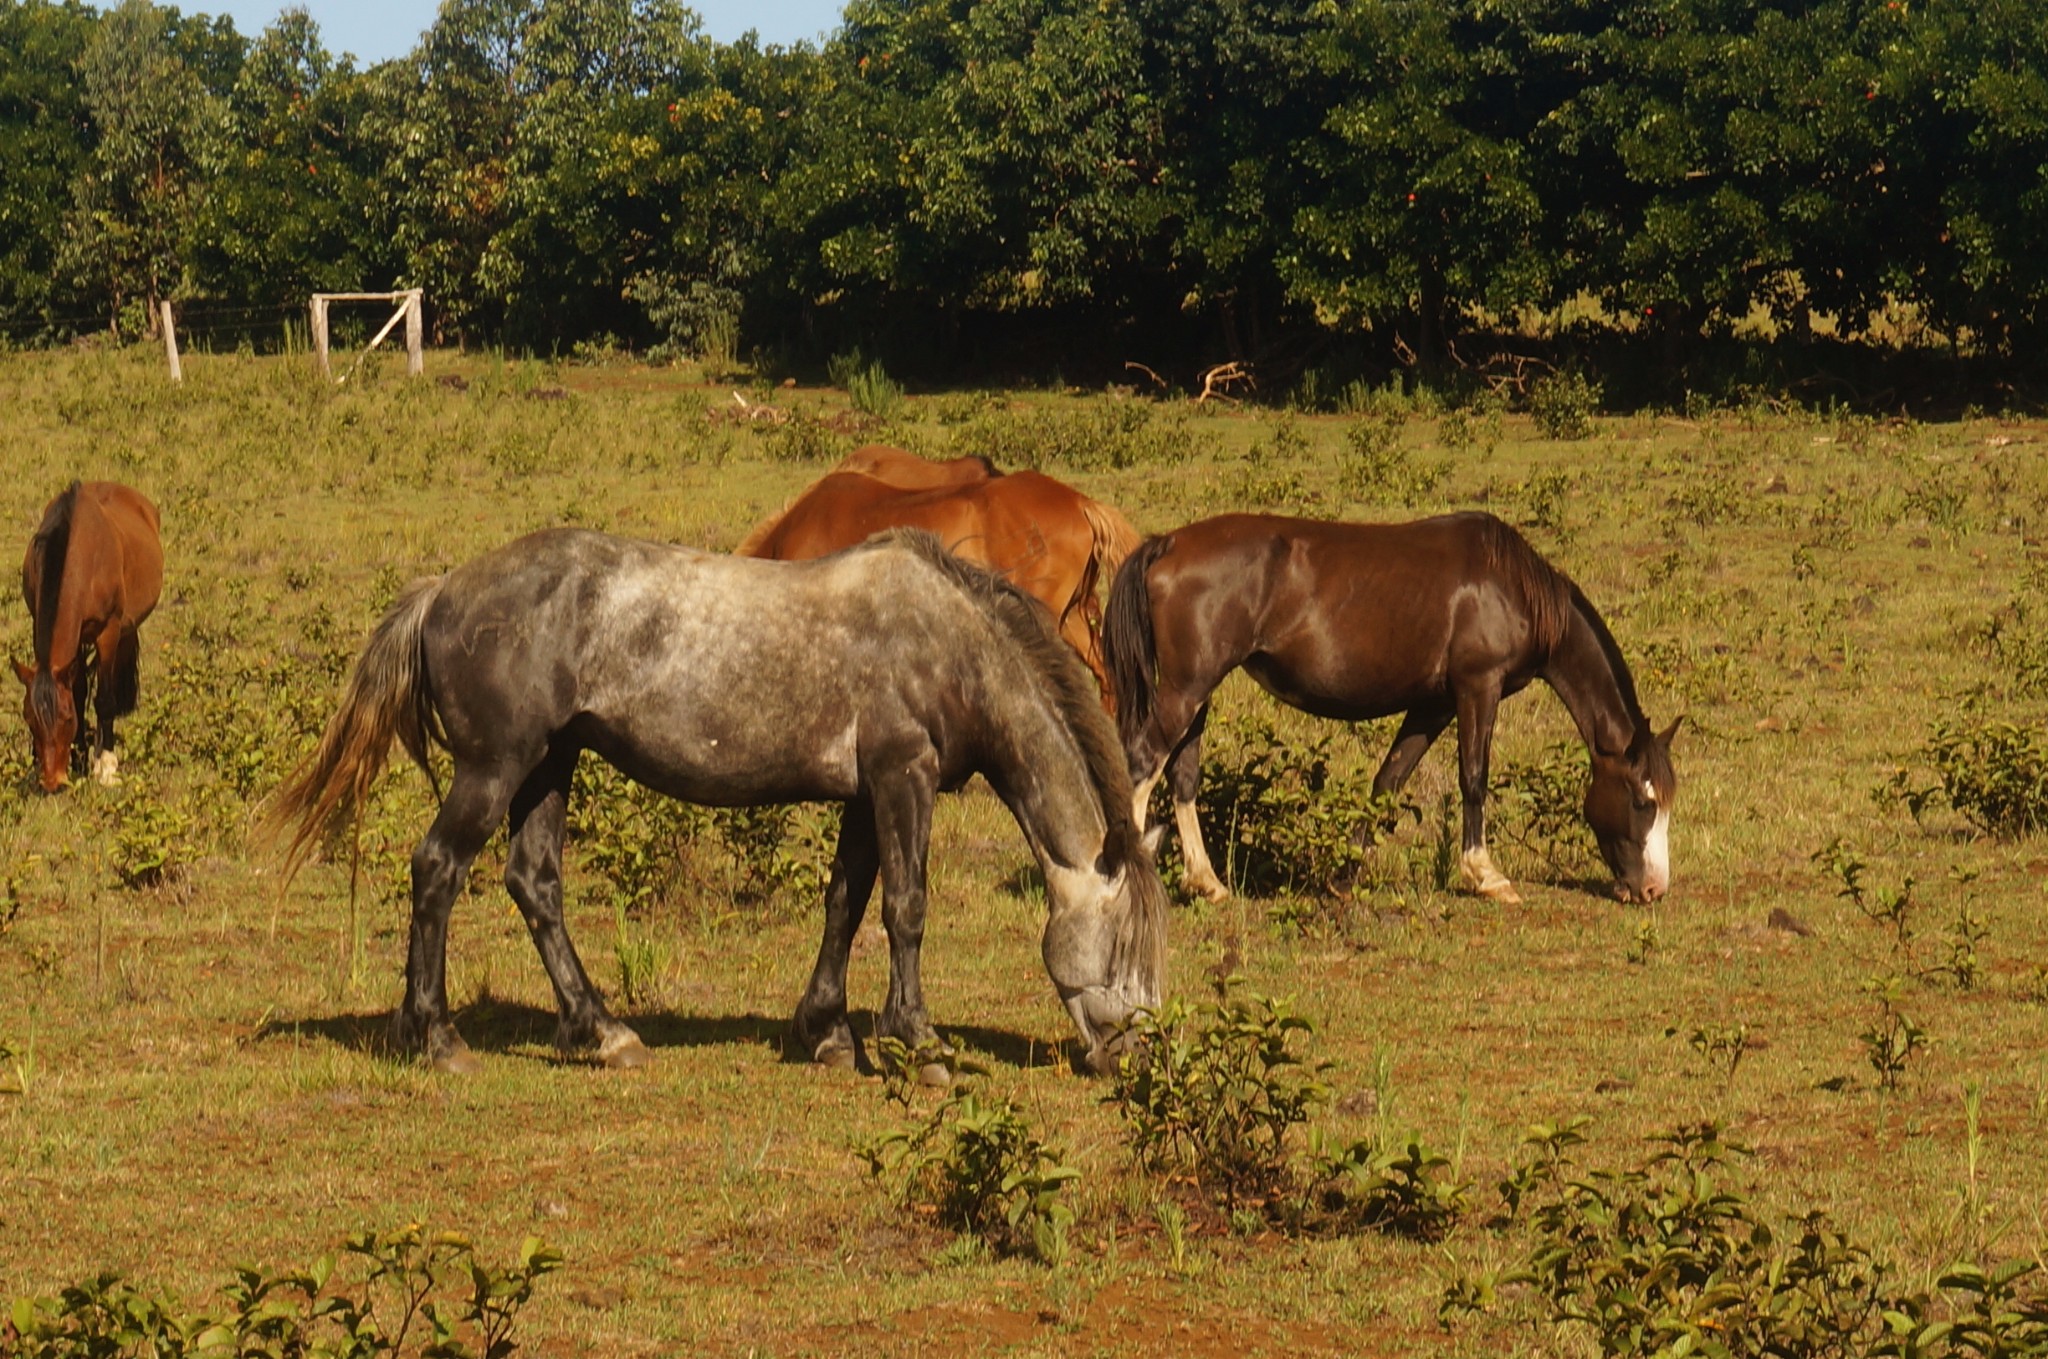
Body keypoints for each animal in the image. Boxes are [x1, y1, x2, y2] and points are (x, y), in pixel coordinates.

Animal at [14, 480, 163, 790]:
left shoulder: (107, 632)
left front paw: (106, 767)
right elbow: (79, 691)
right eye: (29, 719)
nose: (53, 781)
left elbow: (104, 700)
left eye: (66, 718)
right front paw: (79, 758)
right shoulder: (64, 633)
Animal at [272, 523, 1171, 1080]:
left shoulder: (864, 794)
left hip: (548, 766)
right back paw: (438, 1036)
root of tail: (443, 589)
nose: (1136, 1055)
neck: (946, 641)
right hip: (495, 767)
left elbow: (845, 903)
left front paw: (827, 1032)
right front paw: (920, 1044)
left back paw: (602, 1032)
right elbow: (906, 908)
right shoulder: (901, 778)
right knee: (438, 870)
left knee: (534, 883)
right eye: (1123, 954)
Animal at [1105, 515, 1679, 908]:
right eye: (1641, 799)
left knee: (1182, 775)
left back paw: (1208, 882)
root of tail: (1168, 543)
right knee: (1141, 764)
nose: (1653, 888)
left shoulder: (1432, 704)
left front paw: (1343, 877)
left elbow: (1388, 782)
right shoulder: (1478, 688)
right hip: (1185, 691)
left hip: (1195, 694)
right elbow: (1474, 778)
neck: (1511, 586)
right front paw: (1486, 875)